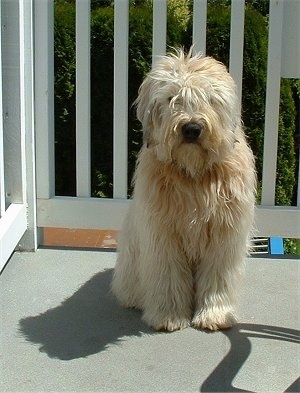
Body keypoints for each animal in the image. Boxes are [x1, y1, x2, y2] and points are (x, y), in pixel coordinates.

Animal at [111, 48, 256, 330]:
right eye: (171, 98)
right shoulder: (163, 235)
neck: (194, 175)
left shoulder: (223, 236)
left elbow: (217, 276)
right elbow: (168, 275)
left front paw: (214, 314)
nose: (191, 128)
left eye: (209, 98)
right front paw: (168, 316)